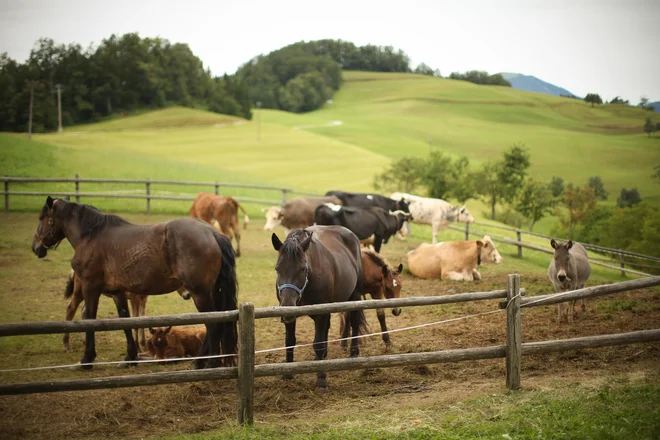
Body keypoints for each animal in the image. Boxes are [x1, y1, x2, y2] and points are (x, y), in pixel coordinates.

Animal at [61, 270, 193, 352]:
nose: (188, 295)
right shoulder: (134, 298)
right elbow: (135, 321)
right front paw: (138, 348)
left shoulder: (143, 298)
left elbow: (143, 319)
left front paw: (144, 346)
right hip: (79, 292)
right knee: (70, 309)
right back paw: (67, 345)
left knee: (84, 312)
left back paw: (85, 342)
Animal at [270, 225, 368, 390]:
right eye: (277, 268)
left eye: (302, 269)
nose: (288, 305)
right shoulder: (293, 317)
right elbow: (290, 341)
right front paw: (288, 372)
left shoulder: (321, 314)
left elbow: (318, 344)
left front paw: (321, 380)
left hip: (355, 295)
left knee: (354, 322)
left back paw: (353, 353)